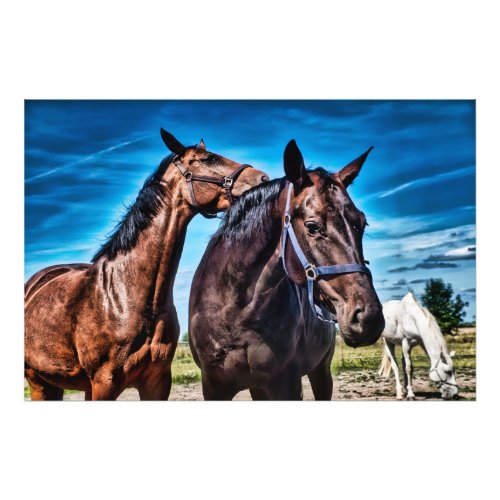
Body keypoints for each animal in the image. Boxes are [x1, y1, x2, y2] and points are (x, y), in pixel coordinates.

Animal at [25, 130, 270, 402]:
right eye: (208, 158)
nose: (263, 177)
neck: (127, 298)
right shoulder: (104, 383)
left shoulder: (157, 382)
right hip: (39, 382)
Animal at [189, 139, 384, 400]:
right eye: (312, 226)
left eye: (362, 223)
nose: (369, 318)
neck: (233, 308)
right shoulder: (214, 387)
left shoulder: (285, 383)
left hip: (320, 372)